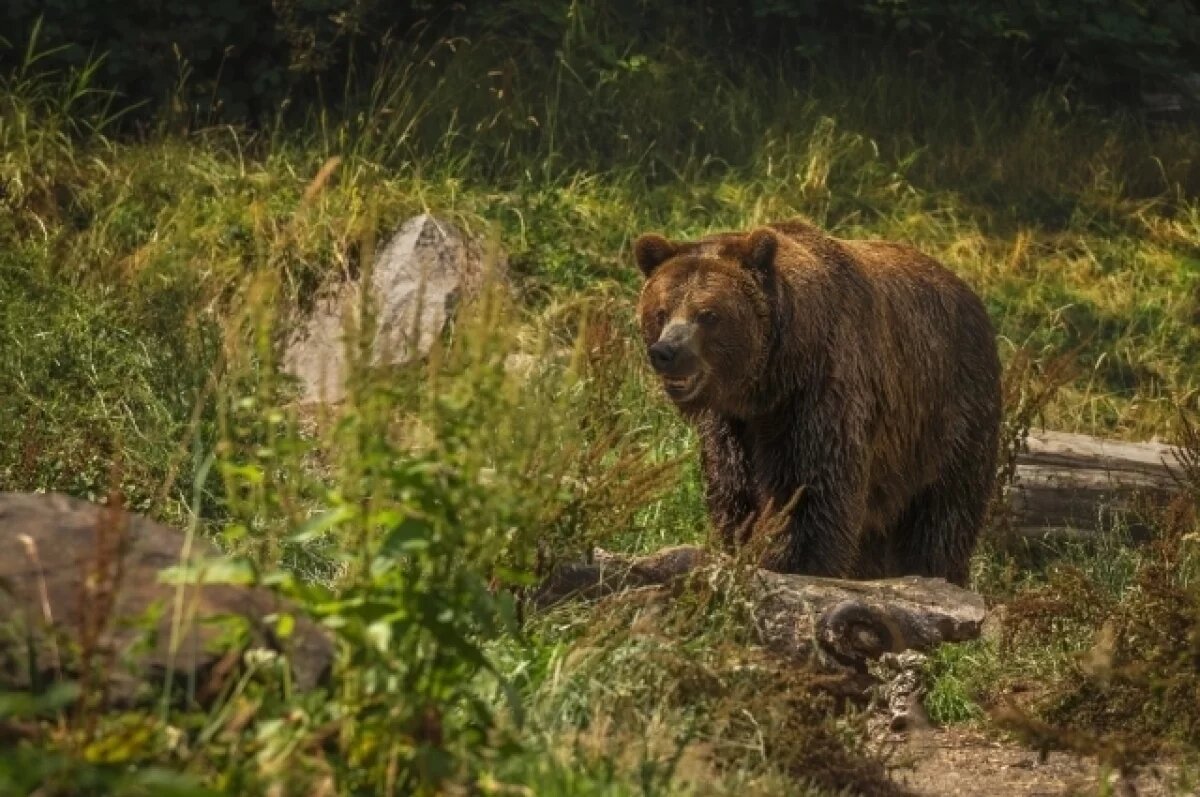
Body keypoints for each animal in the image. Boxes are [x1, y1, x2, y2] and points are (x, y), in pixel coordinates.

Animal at [638, 219, 1003, 585]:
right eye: (661, 311)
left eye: (709, 314)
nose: (667, 352)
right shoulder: (733, 422)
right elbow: (732, 488)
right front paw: (738, 543)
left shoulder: (819, 394)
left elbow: (808, 488)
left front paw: (788, 560)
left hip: (947, 416)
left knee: (942, 513)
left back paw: (934, 571)